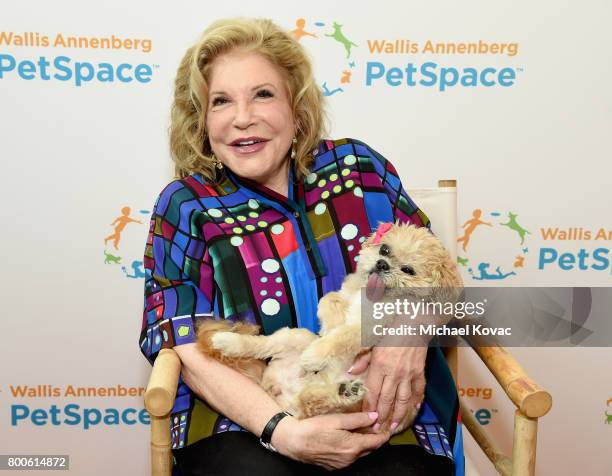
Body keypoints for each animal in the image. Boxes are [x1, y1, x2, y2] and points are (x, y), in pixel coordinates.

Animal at [198, 223, 462, 432]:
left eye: (408, 270)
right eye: (385, 249)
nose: (382, 264)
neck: (368, 297)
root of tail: (280, 390)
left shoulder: (371, 327)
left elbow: (343, 336)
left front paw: (318, 354)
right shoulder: (343, 294)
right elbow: (329, 300)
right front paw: (329, 324)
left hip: (351, 409)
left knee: (311, 404)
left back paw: (342, 391)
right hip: (297, 337)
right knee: (261, 346)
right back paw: (227, 341)